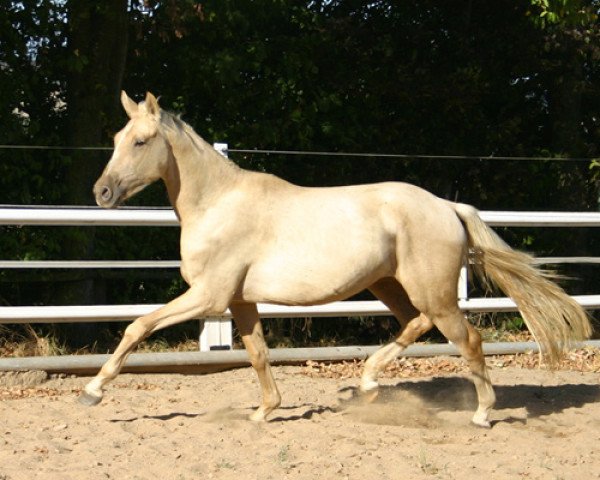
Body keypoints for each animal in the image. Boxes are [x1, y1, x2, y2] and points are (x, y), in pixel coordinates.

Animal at [82, 93, 592, 428]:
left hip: (433, 292)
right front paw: (264, 411)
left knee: (468, 339)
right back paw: (367, 384)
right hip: (390, 285)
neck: (217, 202)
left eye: (141, 141)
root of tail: (448, 207)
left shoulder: (208, 297)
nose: (101, 192)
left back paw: (483, 413)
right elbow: (258, 354)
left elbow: (138, 327)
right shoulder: (239, 302)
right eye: (117, 136)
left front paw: (92, 391)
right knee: (416, 323)